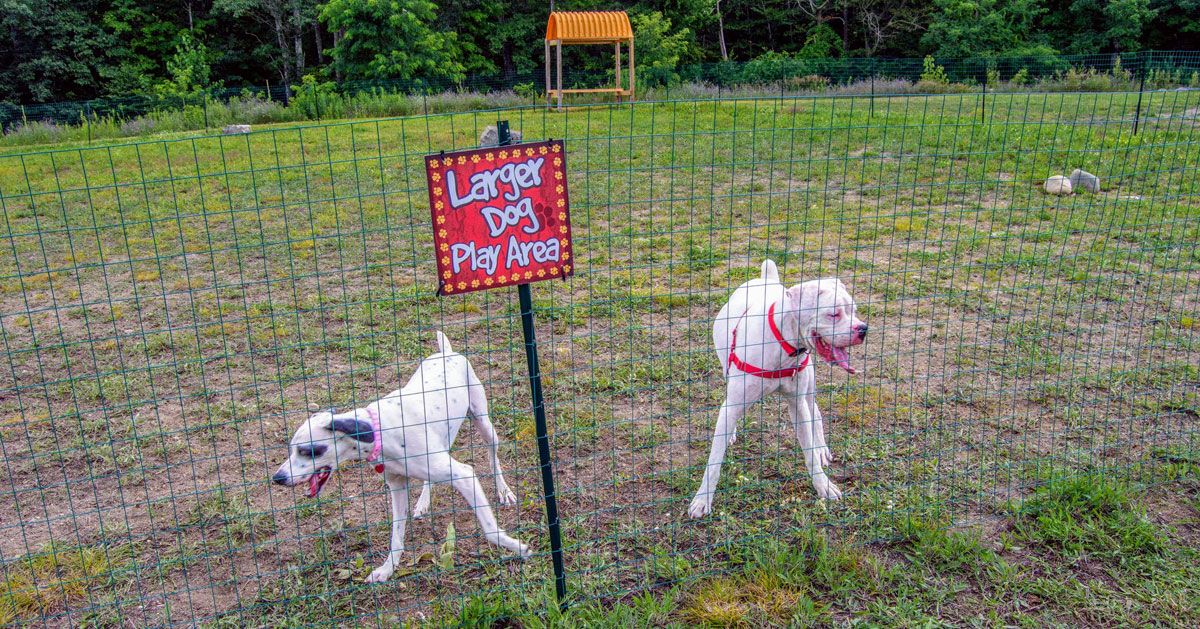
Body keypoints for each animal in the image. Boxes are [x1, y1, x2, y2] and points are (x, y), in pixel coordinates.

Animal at [278, 331, 532, 583]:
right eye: (292, 449)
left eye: (309, 450)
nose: (278, 478)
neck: (379, 429)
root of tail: (447, 352)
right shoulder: (398, 487)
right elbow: (396, 537)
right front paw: (386, 569)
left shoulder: (464, 475)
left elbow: (490, 530)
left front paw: (518, 547)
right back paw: (423, 502)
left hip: (484, 425)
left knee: (493, 460)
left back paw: (504, 491)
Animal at [691, 258, 868, 518]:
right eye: (833, 314)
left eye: (854, 311)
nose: (863, 329)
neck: (784, 343)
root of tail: (767, 279)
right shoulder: (733, 403)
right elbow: (714, 460)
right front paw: (702, 499)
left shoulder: (797, 405)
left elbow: (810, 453)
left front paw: (823, 485)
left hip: (808, 388)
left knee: (815, 412)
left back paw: (822, 448)